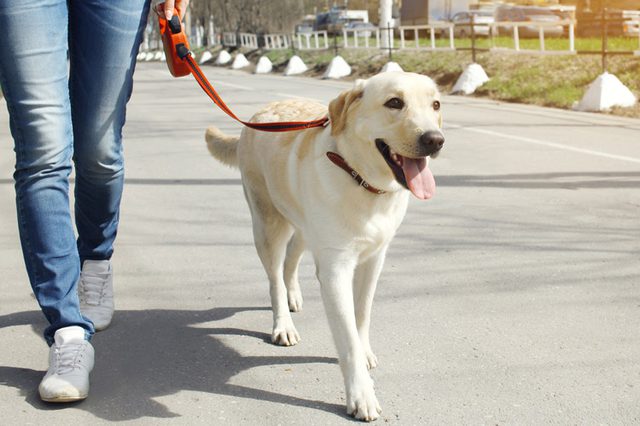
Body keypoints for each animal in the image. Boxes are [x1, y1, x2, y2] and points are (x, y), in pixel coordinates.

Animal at [205, 71, 444, 422]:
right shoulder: (335, 270)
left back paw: (293, 296)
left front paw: (365, 350)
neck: (361, 180)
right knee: (275, 277)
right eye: (394, 102)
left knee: (291, 261)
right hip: (267, 225)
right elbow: (347, 337)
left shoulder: (374, 259)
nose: (435, 140)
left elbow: (362, 316)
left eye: (436, 104)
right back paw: (283, 323)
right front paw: (361, 395)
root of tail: (258, 116)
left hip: (304, 226)